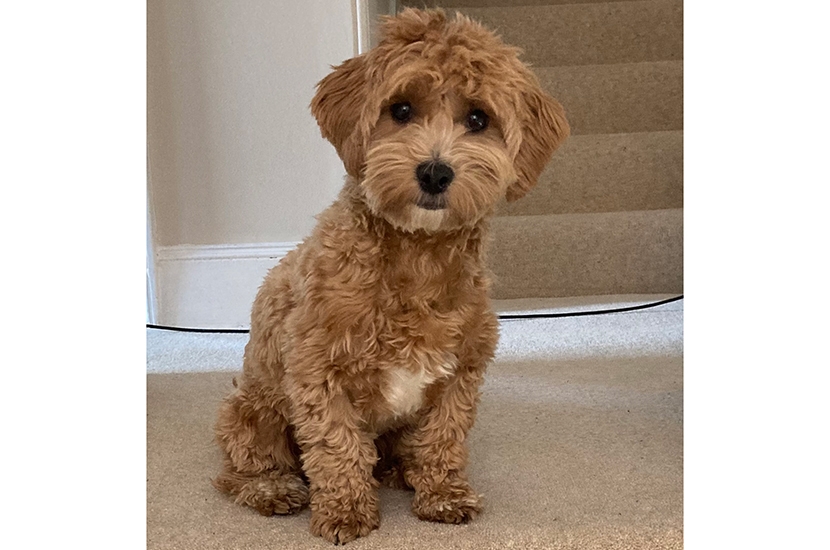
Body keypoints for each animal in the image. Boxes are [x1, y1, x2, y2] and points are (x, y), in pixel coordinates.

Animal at [212, 8, 569, 544]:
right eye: (400, 110)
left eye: (478, 119)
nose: (435, 173)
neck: (416, 256)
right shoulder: (318, 372)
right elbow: (337, 446)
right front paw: (345, 512)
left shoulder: (461, 371)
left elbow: (443, 438)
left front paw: (442, 495)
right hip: (253, 410)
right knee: (239, 469)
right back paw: (272, 488)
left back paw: (401, 471)